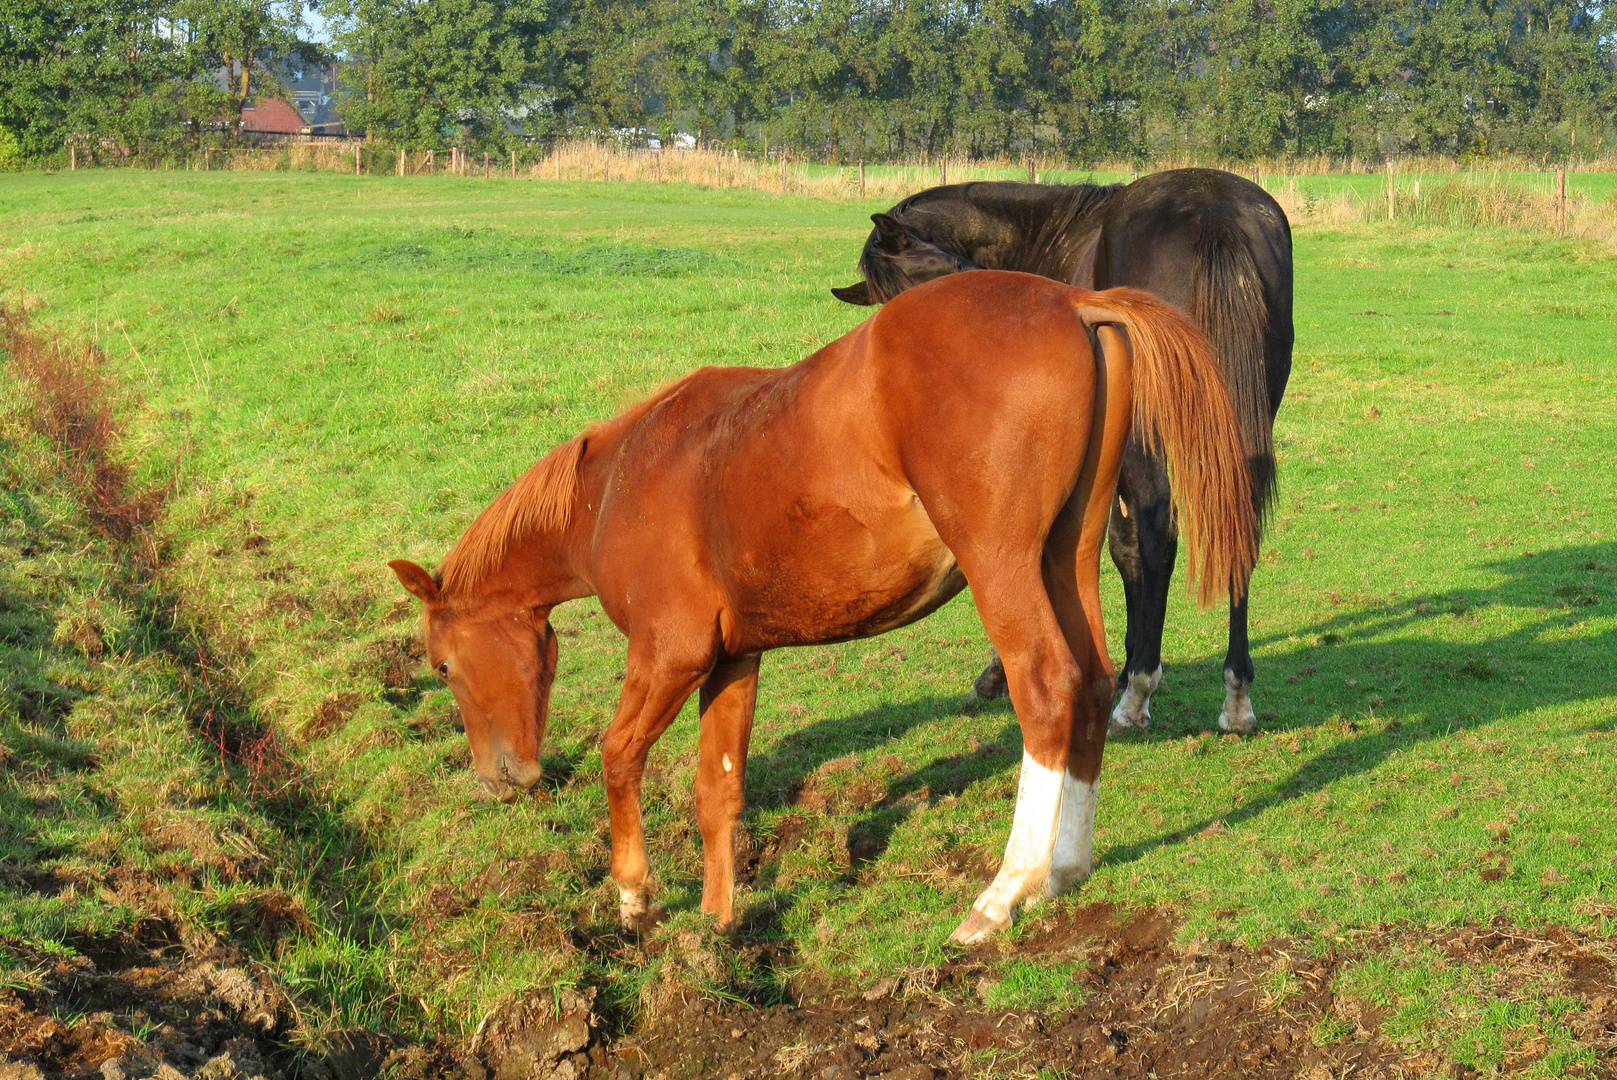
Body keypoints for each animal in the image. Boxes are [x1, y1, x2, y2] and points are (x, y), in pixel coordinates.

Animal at [384, 271, 1254, 944]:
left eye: (443, 665)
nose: (500, 780)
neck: (619, 482)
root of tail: (1073, 300)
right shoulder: (733, 658)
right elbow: (718, 790)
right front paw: (717, 925)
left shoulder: (669, 653)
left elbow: (618, 753)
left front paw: (633, 897)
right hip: (1065, 559)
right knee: (1097, 683)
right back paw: (1063, 870)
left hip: (1002, 567)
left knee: (1046, 689)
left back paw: (1001, 893)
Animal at [840, 170, 1293, 734]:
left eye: (936, 278)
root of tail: (1212, 210)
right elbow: (1122, 551)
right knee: (1238, 530)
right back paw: (1235, 695)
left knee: (1160, 535)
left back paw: (1138, 695)